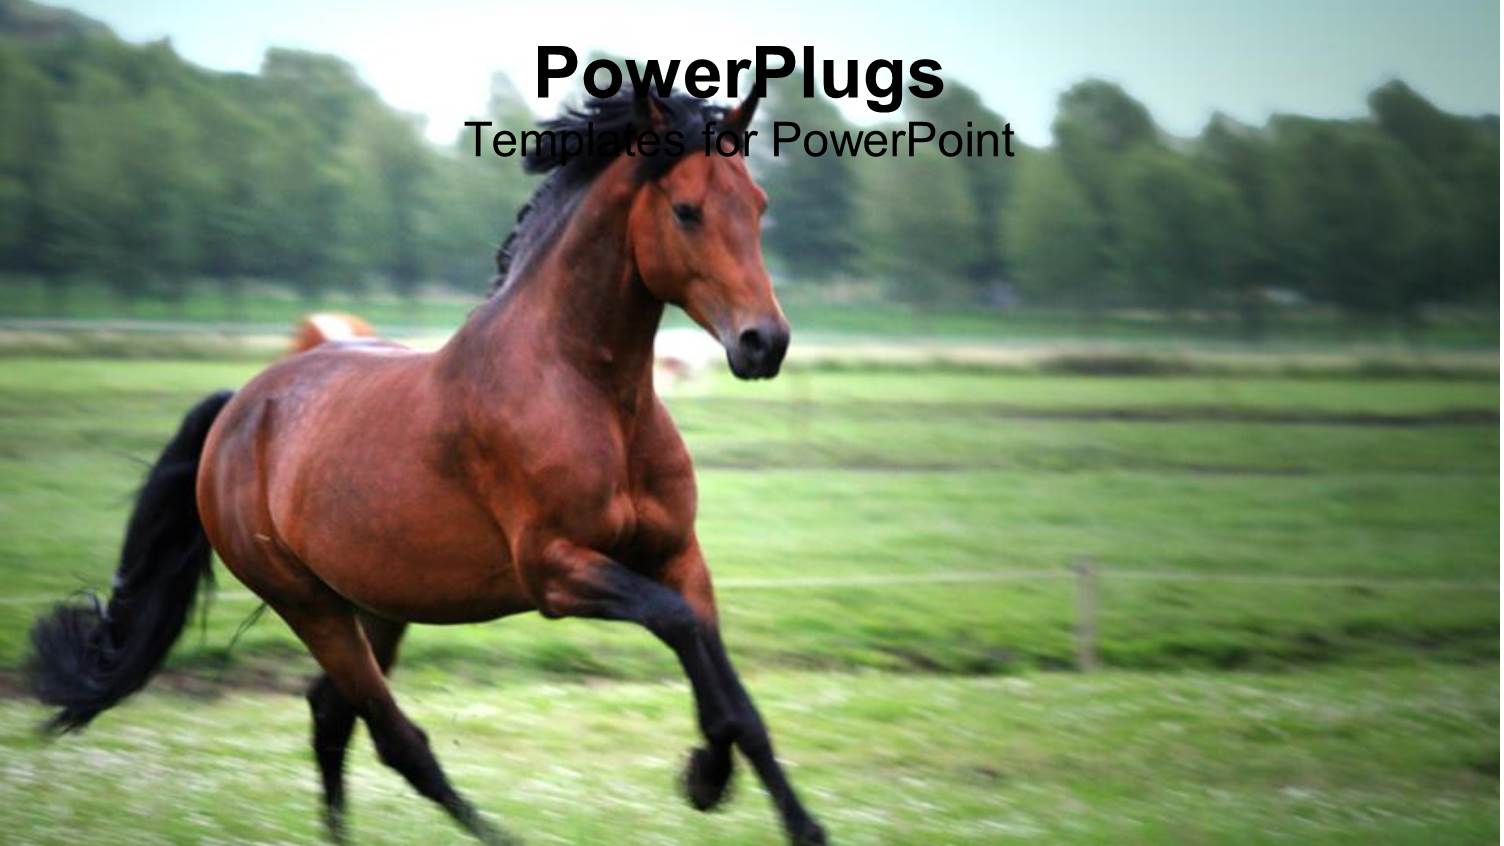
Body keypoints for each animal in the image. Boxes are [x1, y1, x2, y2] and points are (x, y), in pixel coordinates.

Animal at [26, 88, 827, 846]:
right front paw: (705, 777)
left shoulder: (677, 555)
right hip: (309, 605)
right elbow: (680, 628)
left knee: (331, 716)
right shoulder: (556, 571)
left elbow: (732, 689)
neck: (589, 391)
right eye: (687, 210)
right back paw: (498, 834)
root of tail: (238, 409)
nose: (765, 342)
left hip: (379, 602)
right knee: (393, 738)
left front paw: (762, 801)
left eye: (758, 206)